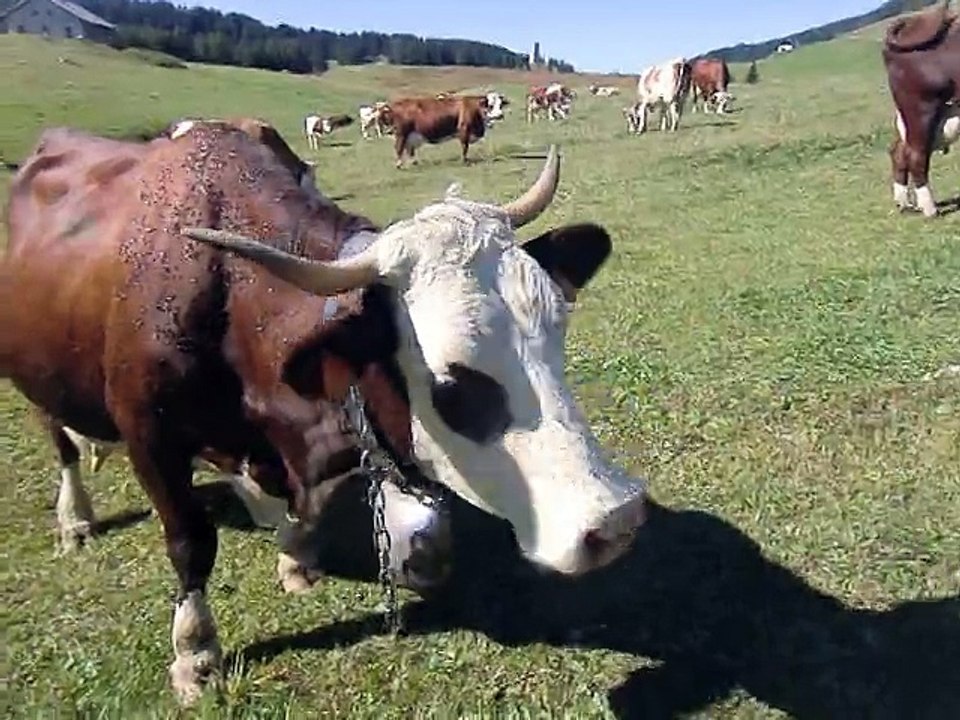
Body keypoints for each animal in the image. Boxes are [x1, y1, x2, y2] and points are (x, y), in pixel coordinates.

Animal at [1, 122, 649, 705]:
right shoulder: (150, 435)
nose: (615, 520)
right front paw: (195, 654)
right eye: (450, 380)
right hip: (36, 380)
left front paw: (294, 556)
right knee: (62, 445)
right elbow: (190, 541)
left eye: (557, 333)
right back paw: (76, 518)